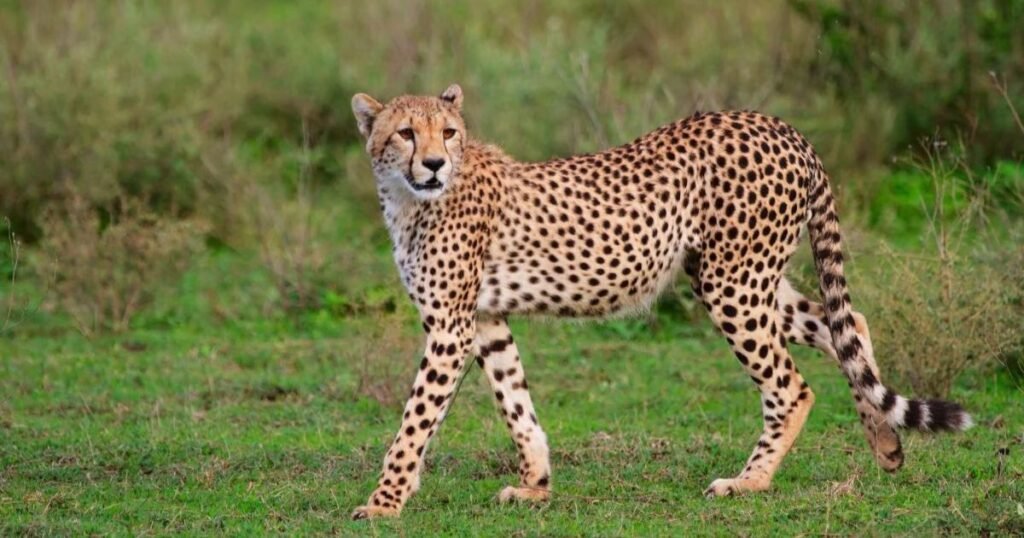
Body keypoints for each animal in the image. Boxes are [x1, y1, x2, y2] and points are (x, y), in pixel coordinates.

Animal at [348, 84, 972, 520]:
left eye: (449, 132)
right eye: (405, 133)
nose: (434, 164)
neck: (409, 199)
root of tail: (780, 126)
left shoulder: (450, 328)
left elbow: (414, 423)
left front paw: (383, 503)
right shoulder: (484, 320)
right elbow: (515, 401)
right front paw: (536, 485)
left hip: (732, 282)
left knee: (792, 385)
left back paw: (749, 481)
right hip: (745, 278)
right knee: (848, 324)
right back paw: (886, 444)